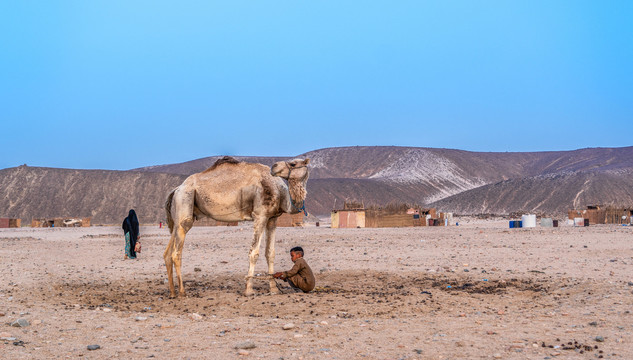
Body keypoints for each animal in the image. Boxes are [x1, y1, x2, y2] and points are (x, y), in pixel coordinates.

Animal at [164, 156, 310, 296]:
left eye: (293, 164)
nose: (274, 167)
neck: (278, 190)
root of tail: (176, 189)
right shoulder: (260, 215)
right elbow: (254, 253)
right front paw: (249, 290)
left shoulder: (272, 218)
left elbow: (270, 253)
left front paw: (274, 289)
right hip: (185, 200)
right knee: (176, 252)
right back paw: (182, 292)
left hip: (177, 216)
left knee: (168, 252)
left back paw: (172, 293)